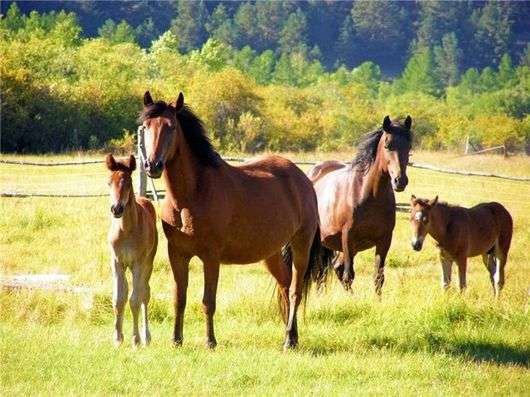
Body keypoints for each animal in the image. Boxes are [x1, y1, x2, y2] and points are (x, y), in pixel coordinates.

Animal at [105, 153, 157, 344]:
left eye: (128, 182)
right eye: (109, 182)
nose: (116, 209)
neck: (126, 230)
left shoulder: (138, 264)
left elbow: (135, 299)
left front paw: (136, 340)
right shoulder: (116, 263)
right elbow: (118, 299)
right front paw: (118, 338)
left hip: (148, 264)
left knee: (144, 293)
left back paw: (146, 337)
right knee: (128, 291)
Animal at [137, 90, 326, 350]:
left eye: (171, 126)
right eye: (145, 126)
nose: (152, 165)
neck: (192, 194)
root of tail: (303, 179)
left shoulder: (211, 257)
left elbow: (208, 301)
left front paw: (210, 342)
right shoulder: (177, 253)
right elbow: (179, 297)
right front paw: (176, 340)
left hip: (301, 245)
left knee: (295, 291)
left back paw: (288, 340)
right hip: (271, 253)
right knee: (285, 285)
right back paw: (293, 337)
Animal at [306, 116, 412, 292]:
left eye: (409, 147)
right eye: (387, 145)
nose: (400, 181)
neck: (368, 194)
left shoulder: (384, 240)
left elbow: (378, 277)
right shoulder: (348, 237)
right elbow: (349, 275)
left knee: (329, 270)